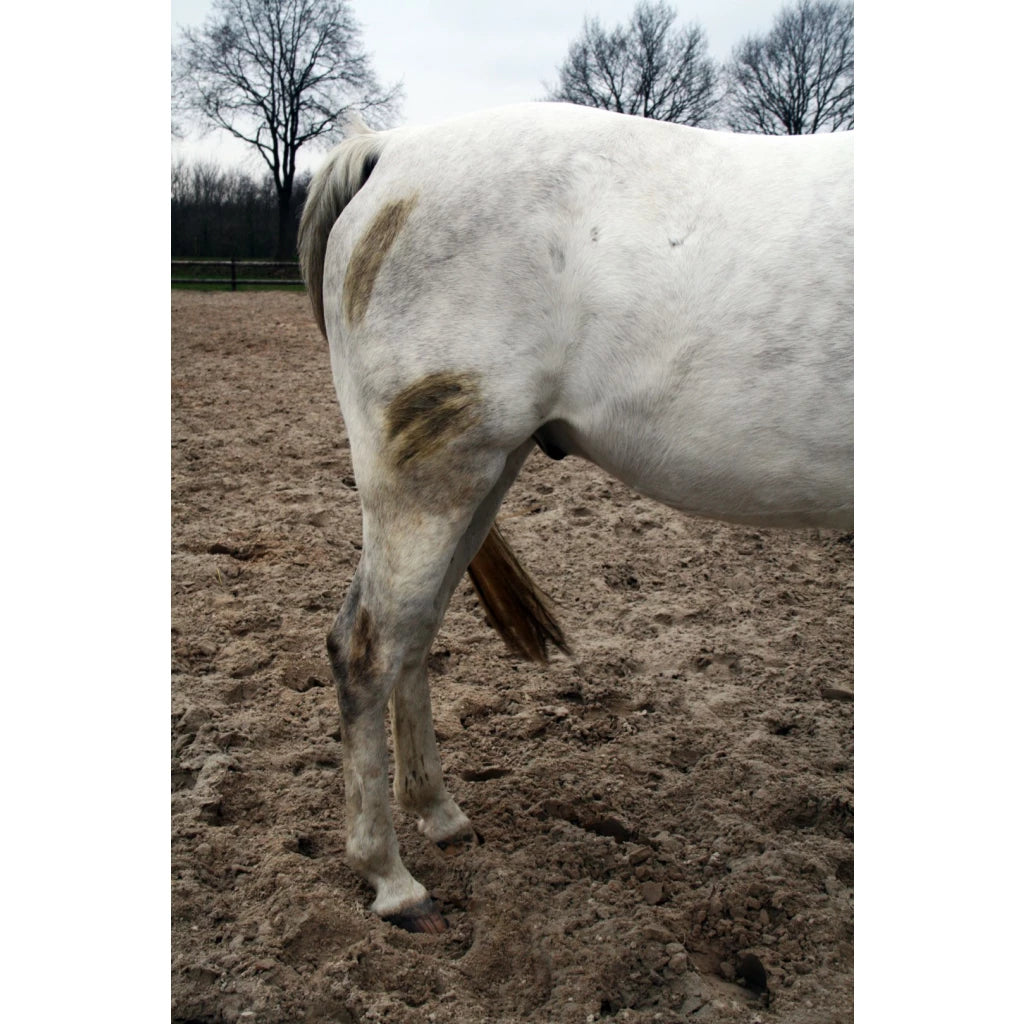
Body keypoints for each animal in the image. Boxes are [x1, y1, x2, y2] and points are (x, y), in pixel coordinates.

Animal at [297, 101, 853, 933]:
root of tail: (388, 151)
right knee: (366, 650)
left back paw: (439, 812)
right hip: (434, 477)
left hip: (483, 474)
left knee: (413, 636)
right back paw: (392, 880)